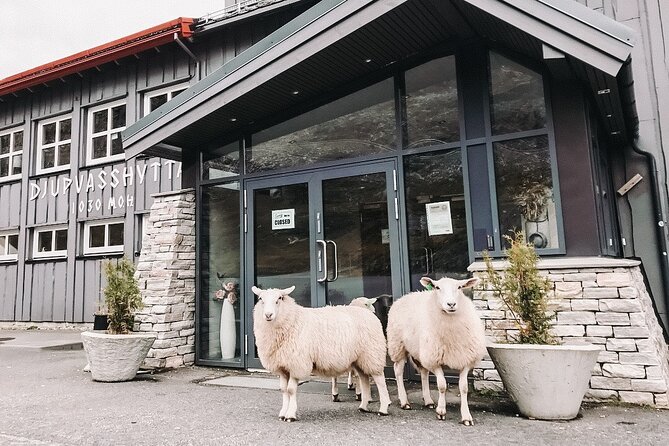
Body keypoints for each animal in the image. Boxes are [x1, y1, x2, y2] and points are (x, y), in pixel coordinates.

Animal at [252, 286, 392, 422]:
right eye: (260, 299)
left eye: (280, 298)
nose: (268, 314)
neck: (292, 320)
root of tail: (369, 314)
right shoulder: (282, 366)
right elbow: (283, 390)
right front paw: (282, 413)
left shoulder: (296, 364)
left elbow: (291, 390)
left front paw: (290, 415)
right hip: (359, 358)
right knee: (364, 378)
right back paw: (363, 406)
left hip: (372, 353)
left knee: (379, 379)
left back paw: (383, 408)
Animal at [386, 276, 486, 426]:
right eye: (437, 287)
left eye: (460, 287)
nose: (451, 304)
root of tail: (405, 296)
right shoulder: (435, 360)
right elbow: (442, 385)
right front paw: (441, 411)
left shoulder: (465, 359)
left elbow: (464, 388)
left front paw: (466, 416)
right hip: (398, 345)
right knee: (398, 372)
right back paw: (404, 401)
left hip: (421, 351)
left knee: (423, 373)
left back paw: (428, 401)